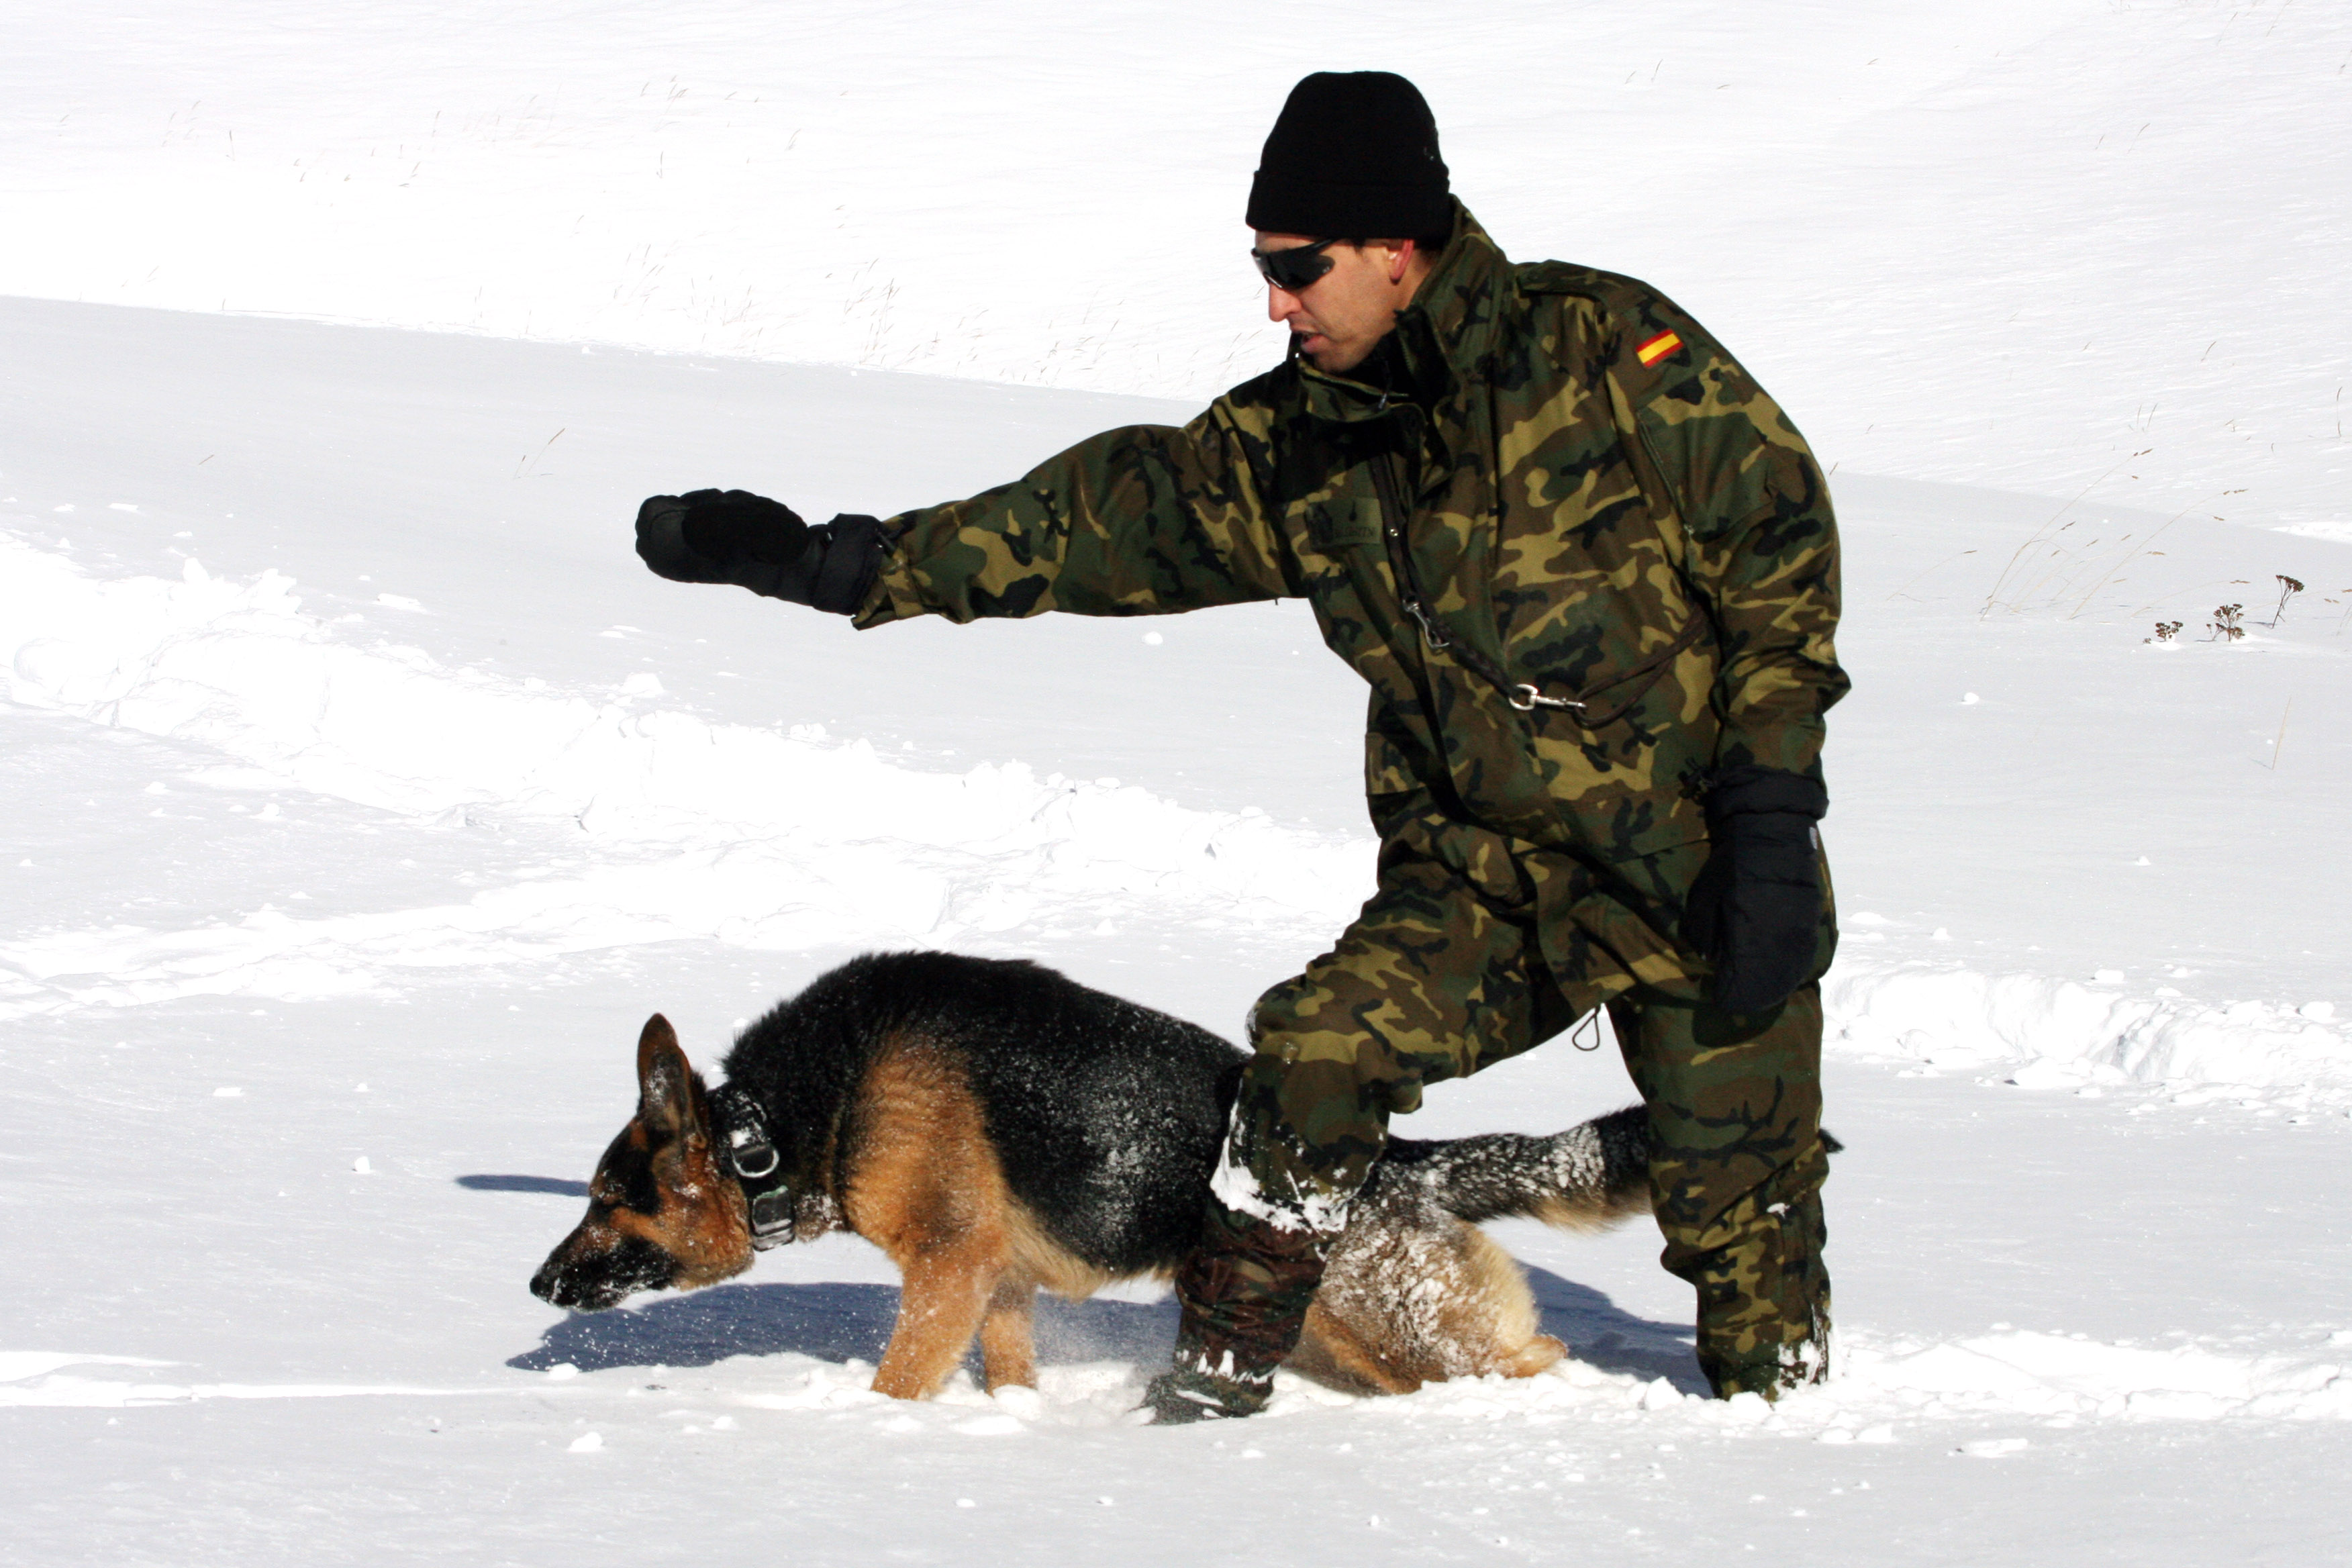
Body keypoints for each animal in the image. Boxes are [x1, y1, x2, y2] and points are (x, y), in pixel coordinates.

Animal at [531, 950, 1656, 1401]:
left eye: (604, 1201)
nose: (537, 1284)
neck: (789, 1119)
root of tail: (1397, 1164)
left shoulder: (947, 1266)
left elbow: (898, 1382)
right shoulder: (996, 1284)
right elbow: (1010, 1374)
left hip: (1385, 1327)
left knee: (1530, 1357)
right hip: (1326, 1338)